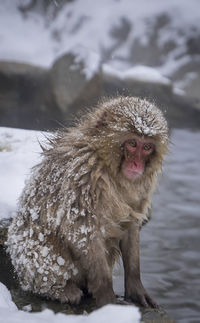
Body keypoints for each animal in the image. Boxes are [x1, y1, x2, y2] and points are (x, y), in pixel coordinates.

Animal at [6, 96, 169, 308]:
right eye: (133, 143)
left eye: (147, 147)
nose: (136, 164)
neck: (109, 166)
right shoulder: (82, 175)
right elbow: (83, 229)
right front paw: (107, 297)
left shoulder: (142, 188)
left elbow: (131, 225)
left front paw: (136, 287)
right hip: (28, 259)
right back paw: (60, 290)